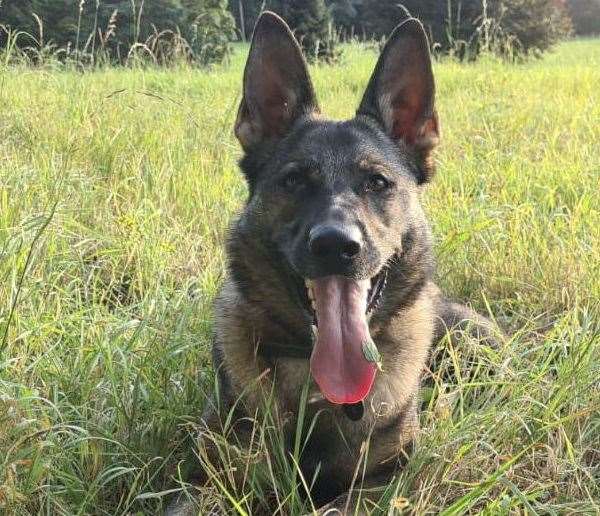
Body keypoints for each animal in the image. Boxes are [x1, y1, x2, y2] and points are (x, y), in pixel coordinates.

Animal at [165, 9, 496, 516]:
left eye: (377, 182)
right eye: (294, 180)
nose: (336, 246)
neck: (319, 383)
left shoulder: (383, 482)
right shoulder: (210, 480)